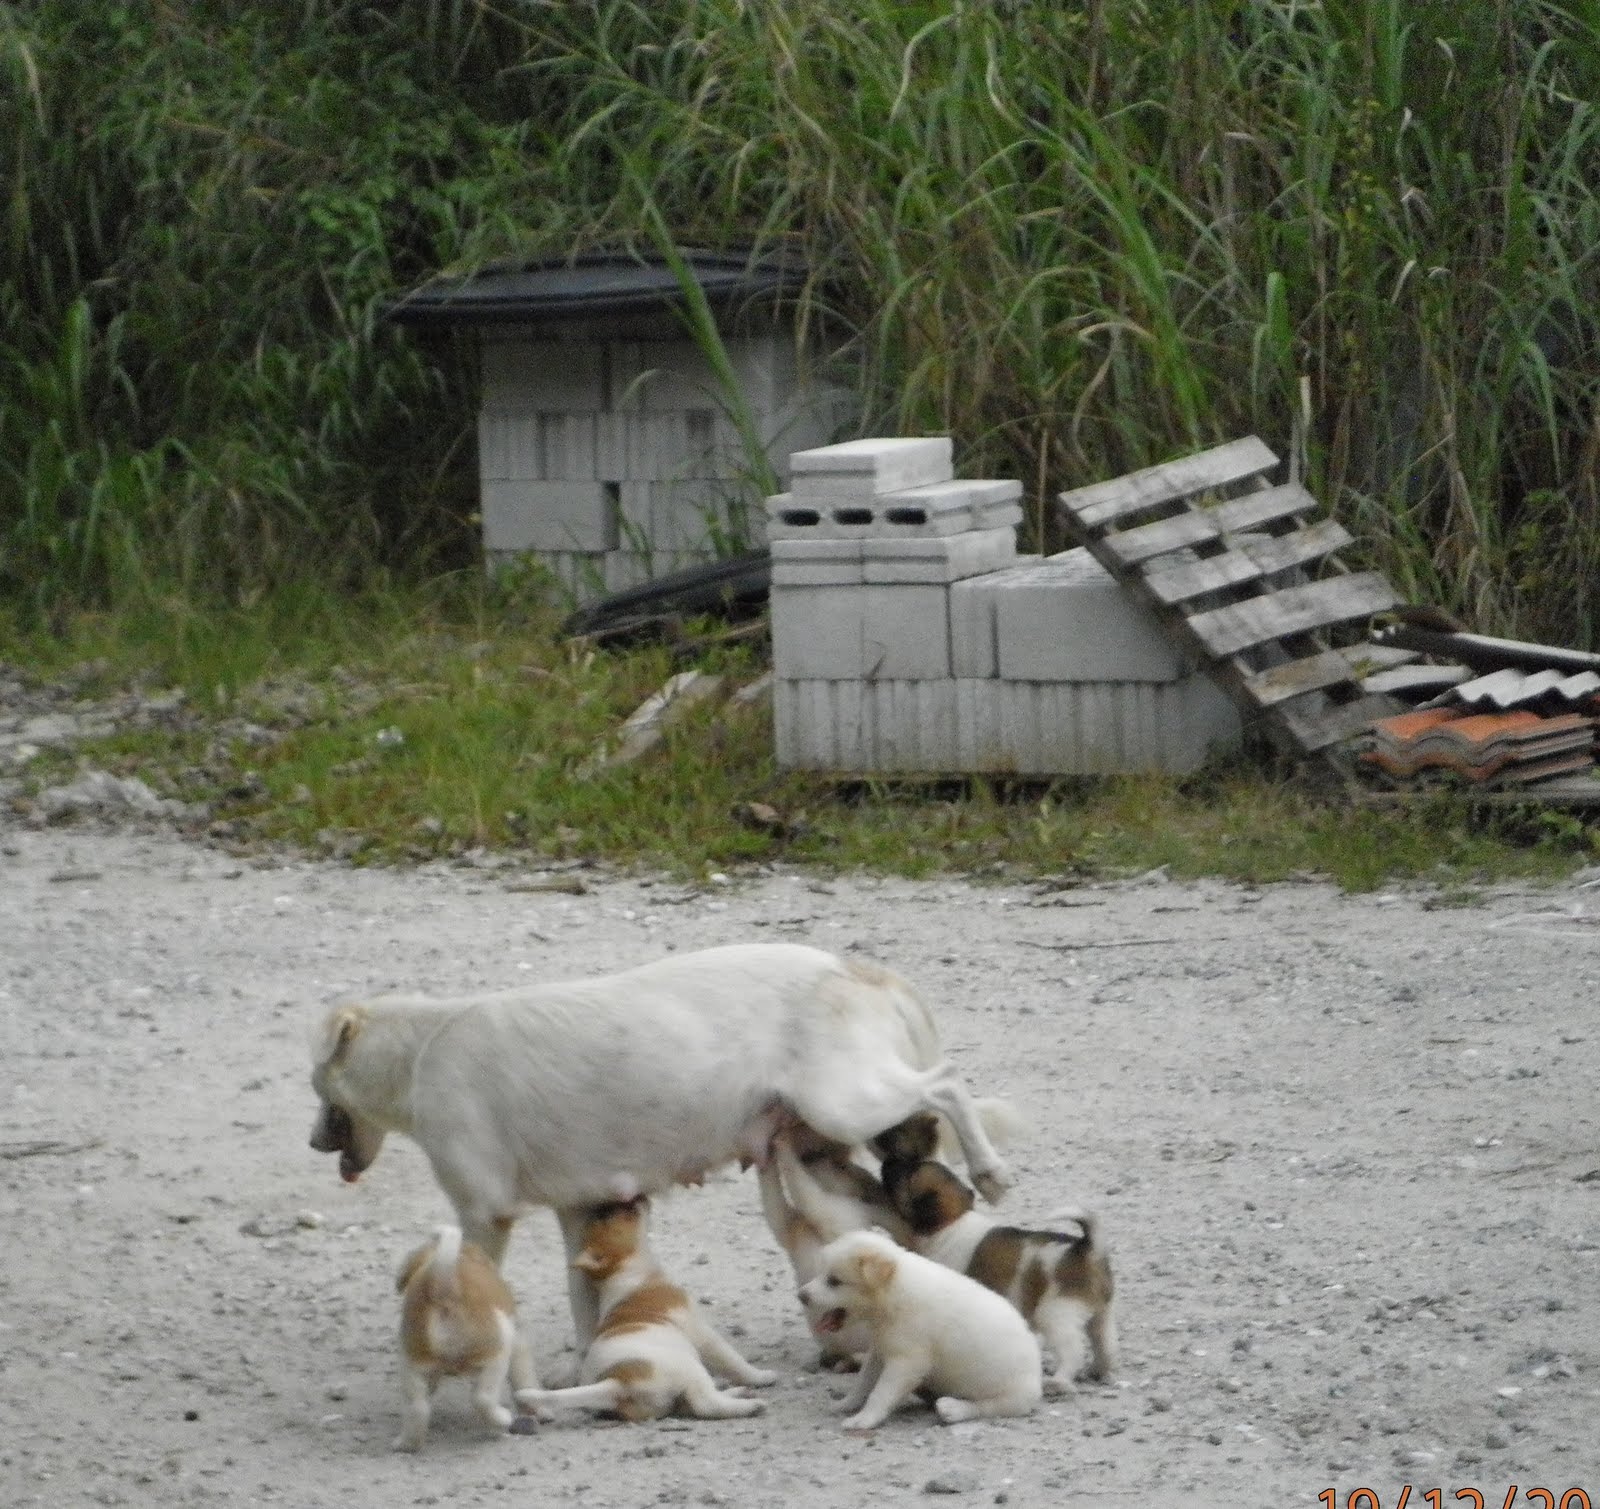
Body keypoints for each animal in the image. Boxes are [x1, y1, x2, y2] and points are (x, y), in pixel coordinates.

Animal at [308, 943, 1012, 1347]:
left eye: (317, 1082)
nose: (314, 1143)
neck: (421, 1052)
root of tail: (861, 968)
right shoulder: (576, 1212)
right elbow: (582, 1302)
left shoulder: (483, 1217)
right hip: (833, 1135)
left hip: (842, 1100)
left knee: (947, 1083)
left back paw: (990, 1168)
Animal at [392, 1224, 543, 1451]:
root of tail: (442, 1291)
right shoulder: (519, 1342)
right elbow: (524, 1378)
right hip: (496, 1352)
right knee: (483, 1399)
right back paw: (500, 1422)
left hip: (412, 1363)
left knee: (418, 1408)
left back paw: (407, 1444)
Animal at [513, 1198, 776, 1423]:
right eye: (605, 1217)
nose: (624, 1198)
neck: (628, 1272)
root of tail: (616, 1383)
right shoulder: (701, 1332)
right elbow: (733, 1361)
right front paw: (761, 1376)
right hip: (688, 1365)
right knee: (705, 1404)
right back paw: (750, 1405)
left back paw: (737, 1393)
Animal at [798, 1228, 1041, 1429]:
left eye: (834, 1281)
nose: (801, 1295)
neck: (894, 1288)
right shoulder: (880, 1351)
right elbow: (863, 1383)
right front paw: (846, 1404)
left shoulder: (906, 1362)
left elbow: (880, 1393)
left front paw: (865, 1419)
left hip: (1013, 1396)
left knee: (985, 1407)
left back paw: (953, 1409)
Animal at [882, 1158, 1117, 1391]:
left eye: (909, 1174)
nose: (888, 1161)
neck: (952, 1223)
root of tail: (1085, 1248)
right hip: (1101, 1315)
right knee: (1105, 1343)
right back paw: (1099, 1371)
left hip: (1057, 1315)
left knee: (1073, 1350)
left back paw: (1059, 1381)